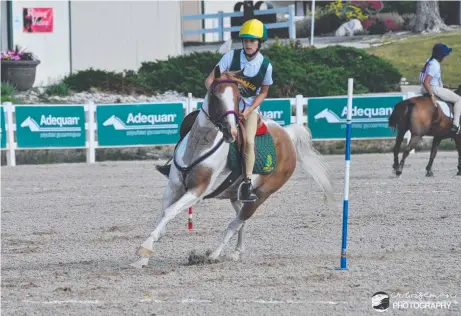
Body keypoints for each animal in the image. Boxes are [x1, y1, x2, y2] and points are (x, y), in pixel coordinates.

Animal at [129, 65, 334, 268]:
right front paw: (143, 258)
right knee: (240, 221)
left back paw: (213, 255)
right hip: (236, 195)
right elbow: (164, 215)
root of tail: (287, 135)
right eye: (215, 95)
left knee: (235, 224)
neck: (199, 146)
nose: (230, 132)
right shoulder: (174, 187)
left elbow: (170, 211)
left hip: (261, 195)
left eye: (237, 97)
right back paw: (236, 252)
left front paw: (145, 248)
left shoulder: (197, 191)